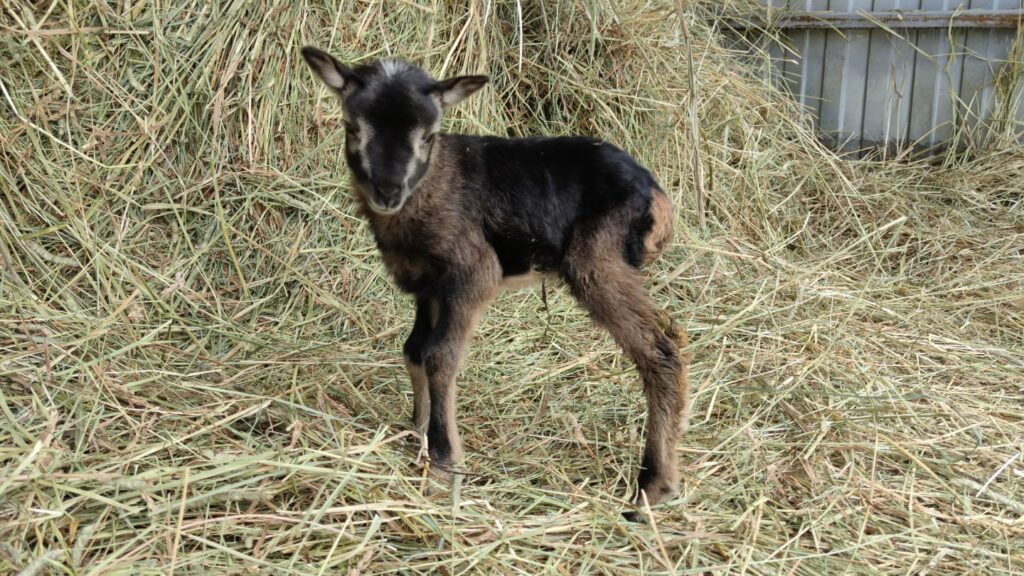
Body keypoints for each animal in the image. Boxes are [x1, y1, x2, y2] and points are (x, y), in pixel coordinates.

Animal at [299, 47, 692, 508]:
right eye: (351, 126)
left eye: (429, 135)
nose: (388, 192)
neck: (434, 188)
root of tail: (657, 196)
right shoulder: (429, 287)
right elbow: (414, 349)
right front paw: (418, 434)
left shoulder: (473, 274)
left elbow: (440, 356)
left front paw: (444, 463)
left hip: (598, 262)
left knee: (660, 349)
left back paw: (653, 486)